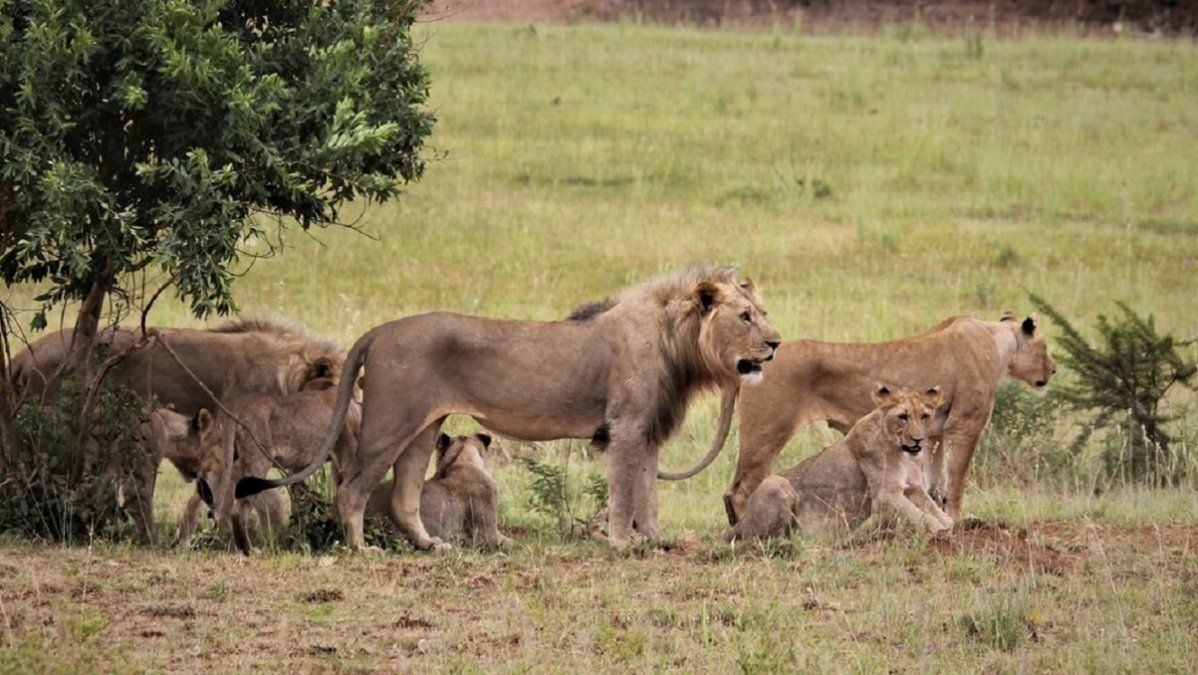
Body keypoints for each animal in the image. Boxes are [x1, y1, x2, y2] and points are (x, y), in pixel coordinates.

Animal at [712, 312, 1055, 525]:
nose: (1053, 370)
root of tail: (752, 361)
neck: (997, 343)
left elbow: (932, 483)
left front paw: (939, 514)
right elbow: (956, 479)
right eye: (1045, 347)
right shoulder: (965, 424)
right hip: (767, 432)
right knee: (739, 490)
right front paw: (960, 520)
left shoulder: (933, 433)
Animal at [724, 385, 952, 542]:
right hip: (775, 484)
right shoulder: (885, 495)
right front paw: (939, 529)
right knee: (765, 538)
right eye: (902, 416)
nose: (918, 440)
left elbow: (932, 507)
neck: (903, 453)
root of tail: (740, 523)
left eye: (925, 416)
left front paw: (950, 523)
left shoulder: (914, 488)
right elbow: (919, 514)